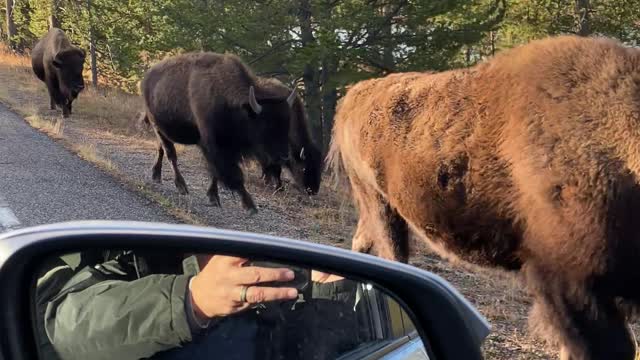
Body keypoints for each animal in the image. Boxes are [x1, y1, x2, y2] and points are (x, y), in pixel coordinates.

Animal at [140, 52, 296, 212]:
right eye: (265, 125)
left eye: (287, 123)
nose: (284, 156)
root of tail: (146, 78)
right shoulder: (214, 146)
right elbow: (231, 174)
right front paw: (249, 205)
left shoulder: (227, 148)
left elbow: (217, 172)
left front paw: (213, 197)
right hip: (157, 126)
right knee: (171, 154)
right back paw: (181, 186)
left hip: (162, 130)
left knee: (161, 149)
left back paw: (157, 175)